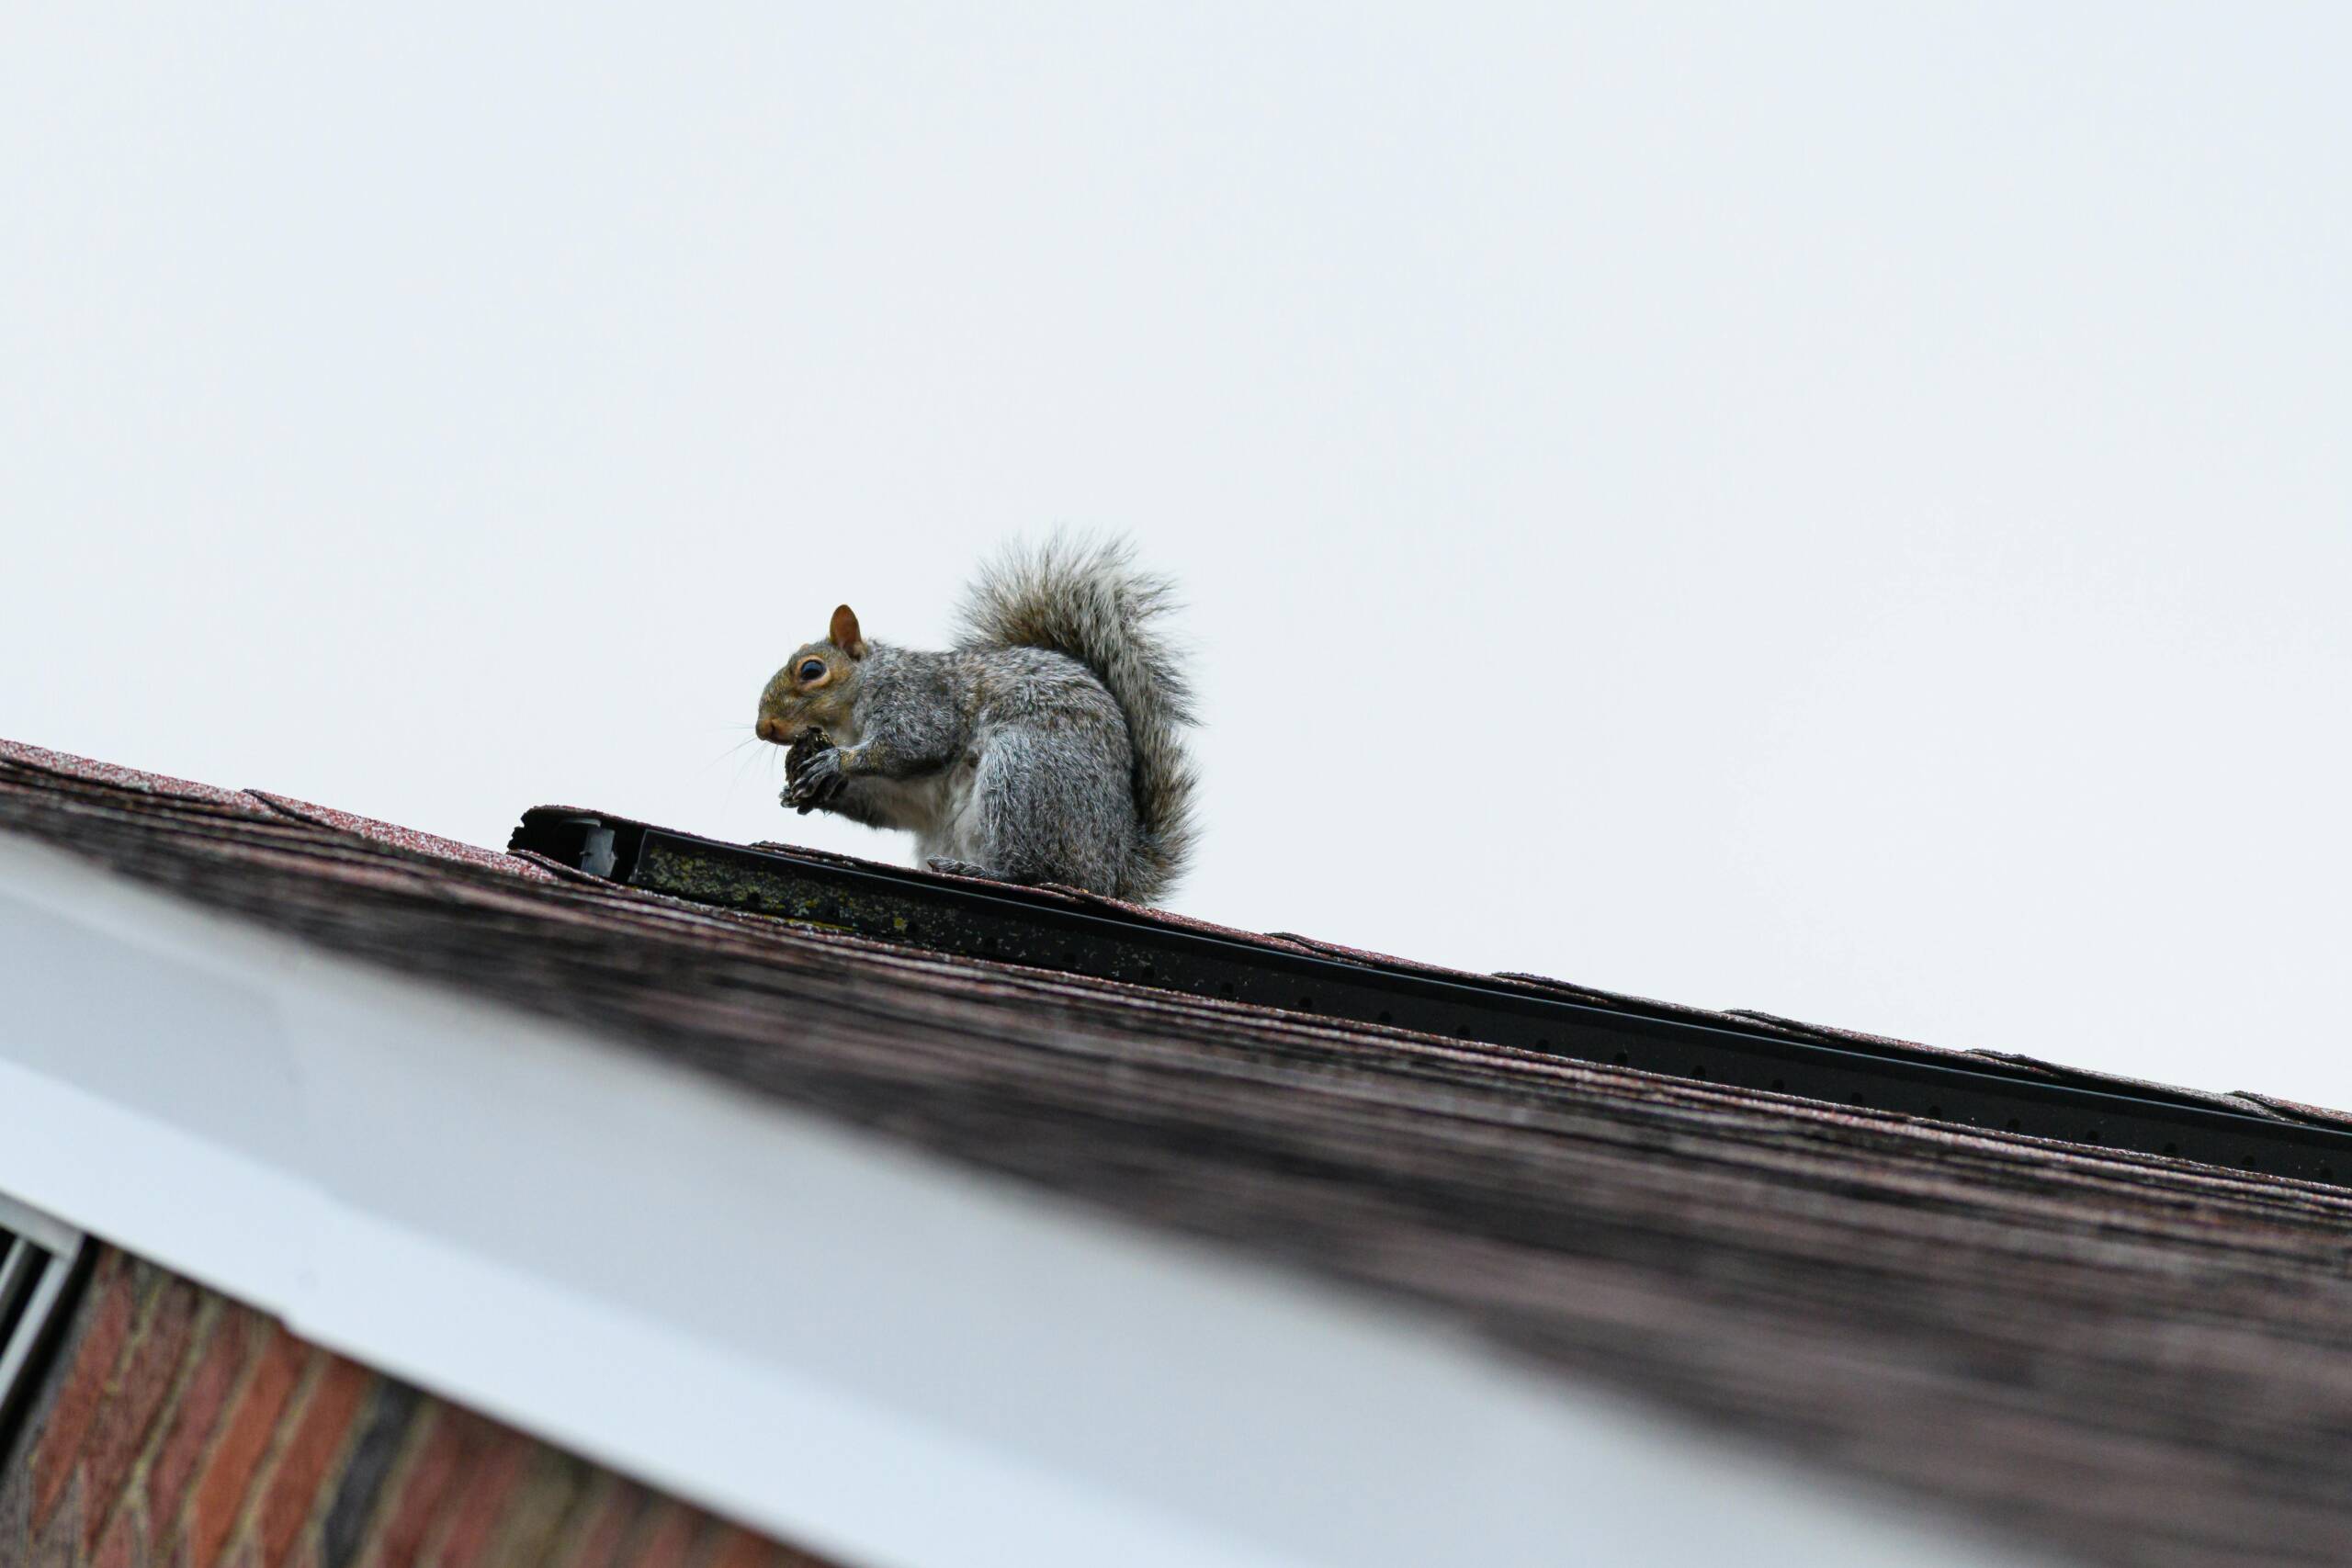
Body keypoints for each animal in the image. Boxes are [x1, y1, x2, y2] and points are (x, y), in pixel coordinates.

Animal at [754, 536, 1199, 905]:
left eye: (812, 670)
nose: (764, 728)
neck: (851, 717)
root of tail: (1113, 871)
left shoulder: (920, 700)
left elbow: (914, 743)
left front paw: (834, 762)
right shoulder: (911, 798)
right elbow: (889, 803)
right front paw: (806, 789)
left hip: (1024, 772)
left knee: (1034, 872)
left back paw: (981, 870)